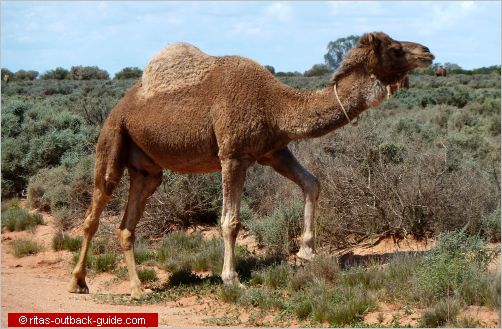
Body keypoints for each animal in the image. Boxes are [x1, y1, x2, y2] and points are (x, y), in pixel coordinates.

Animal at [68, 32, 434, 298]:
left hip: (148, 170)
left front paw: (307, 251)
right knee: (93, 212)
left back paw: (138, 287)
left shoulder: (273, 151)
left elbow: (312, 182)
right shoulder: (233, 155)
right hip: (112, 142)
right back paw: (78, 282)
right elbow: (230, 221)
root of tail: (120, 106)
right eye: (395, 49)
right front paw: (231, 278)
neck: (275, 105)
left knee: (126, 225)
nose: (428, 52)